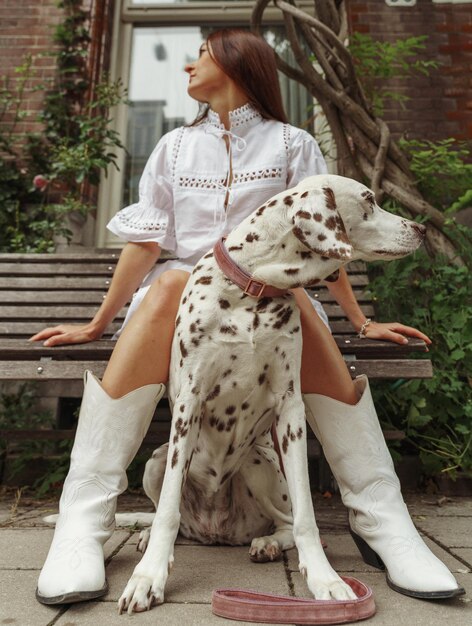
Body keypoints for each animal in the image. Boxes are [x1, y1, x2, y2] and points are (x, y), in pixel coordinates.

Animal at [117, 173, 424, 612]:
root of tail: (215, 532)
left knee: (284, 521)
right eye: (369, 200)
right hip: (156, 461)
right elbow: (167, 513)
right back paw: (148, 538)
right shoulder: (189, 404)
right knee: (168, 514)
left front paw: (326, 580)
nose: (421, 228)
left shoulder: (290, 409)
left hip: (258, 466)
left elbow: (306, 516)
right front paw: (148, 577)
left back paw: (267, 543)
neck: (254, 289)